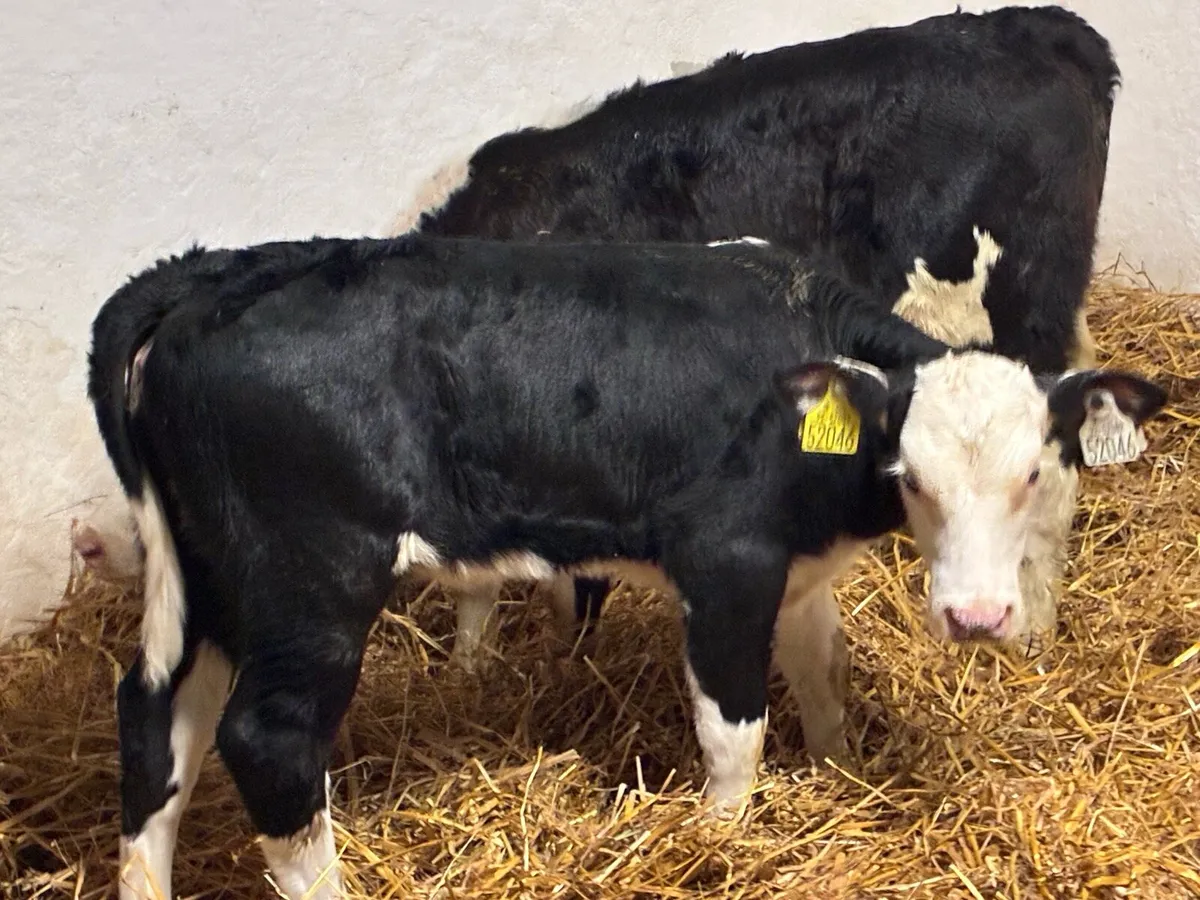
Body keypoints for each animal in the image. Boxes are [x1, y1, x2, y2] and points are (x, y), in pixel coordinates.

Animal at [89, 234, 1165, 899]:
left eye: (1036, 470)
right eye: (912, 474)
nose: (980, 619)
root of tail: (209, 274)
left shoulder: (797, 569)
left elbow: (822, 676)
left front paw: (839, 779)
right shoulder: (727, 559)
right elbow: (735, 732)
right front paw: (726, 844)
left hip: (212, 580)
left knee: (157, 720)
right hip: (309, 581)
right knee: (267, 740)